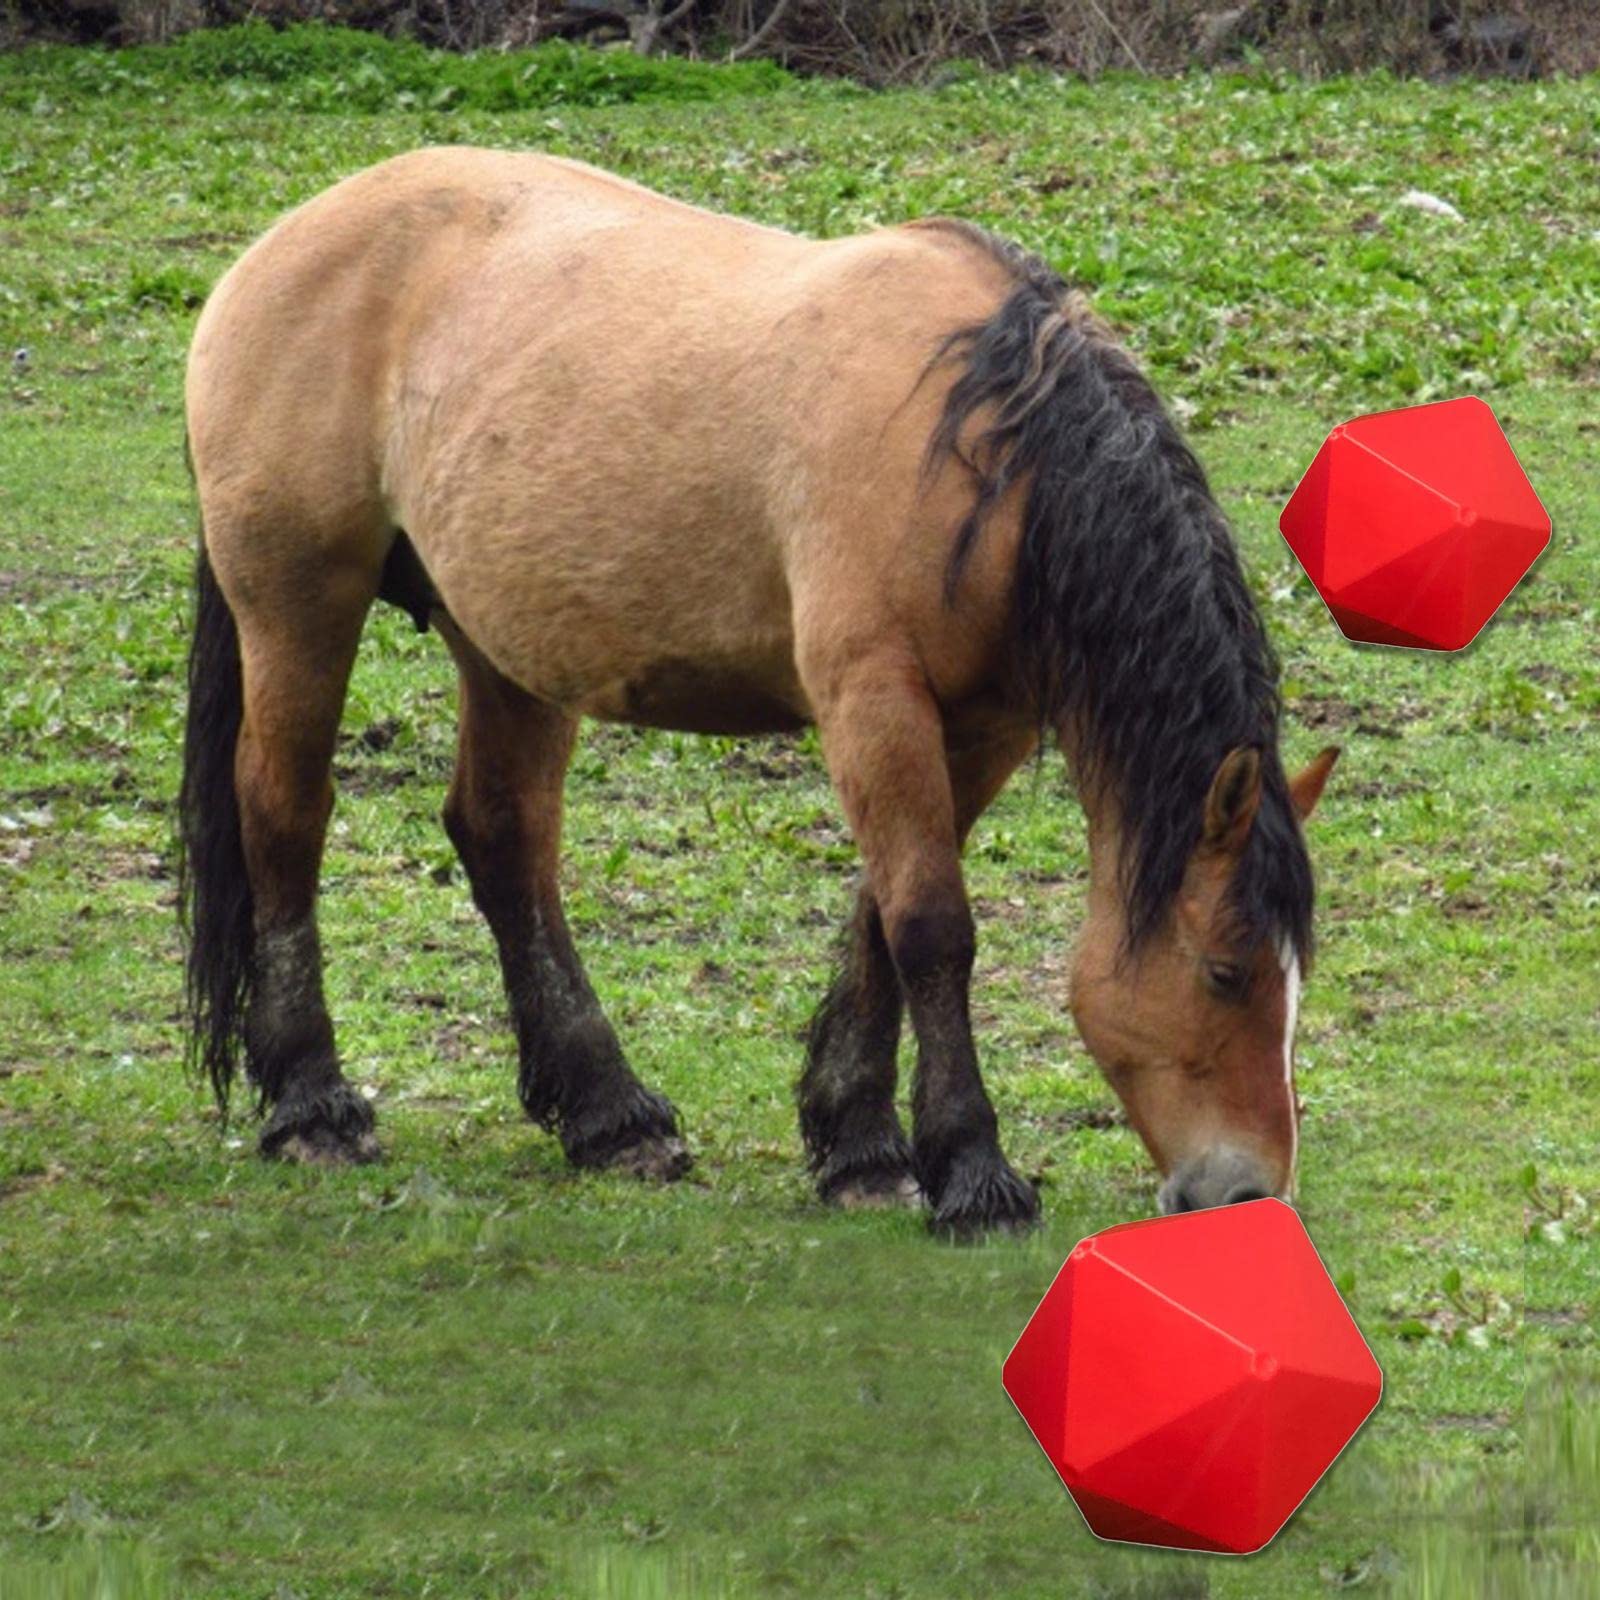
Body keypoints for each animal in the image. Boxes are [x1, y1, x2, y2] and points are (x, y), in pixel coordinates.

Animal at [179, 147, 1338, 1236]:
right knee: (283, 815)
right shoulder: (873, 698)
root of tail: (280, 244)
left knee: (505, 841)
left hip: (507, 650)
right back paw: (314, 1105)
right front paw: (970, 1172)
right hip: (297, 609)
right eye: (1225, 970)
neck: (987, 452)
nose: (1250, 1193)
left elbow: (881, 917)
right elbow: (932, 925)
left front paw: (861, 1144)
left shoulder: (983, 726)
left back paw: (610, 1116)